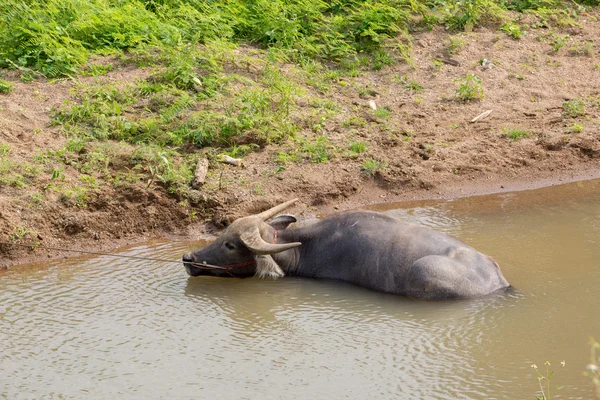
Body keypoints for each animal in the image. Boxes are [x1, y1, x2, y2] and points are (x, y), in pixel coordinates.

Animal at [183, 198, 510, 298]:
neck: (305, 248)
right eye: (222, 233)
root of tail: (498, 280)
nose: (188, 257)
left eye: (230, 245)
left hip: (424, 270)